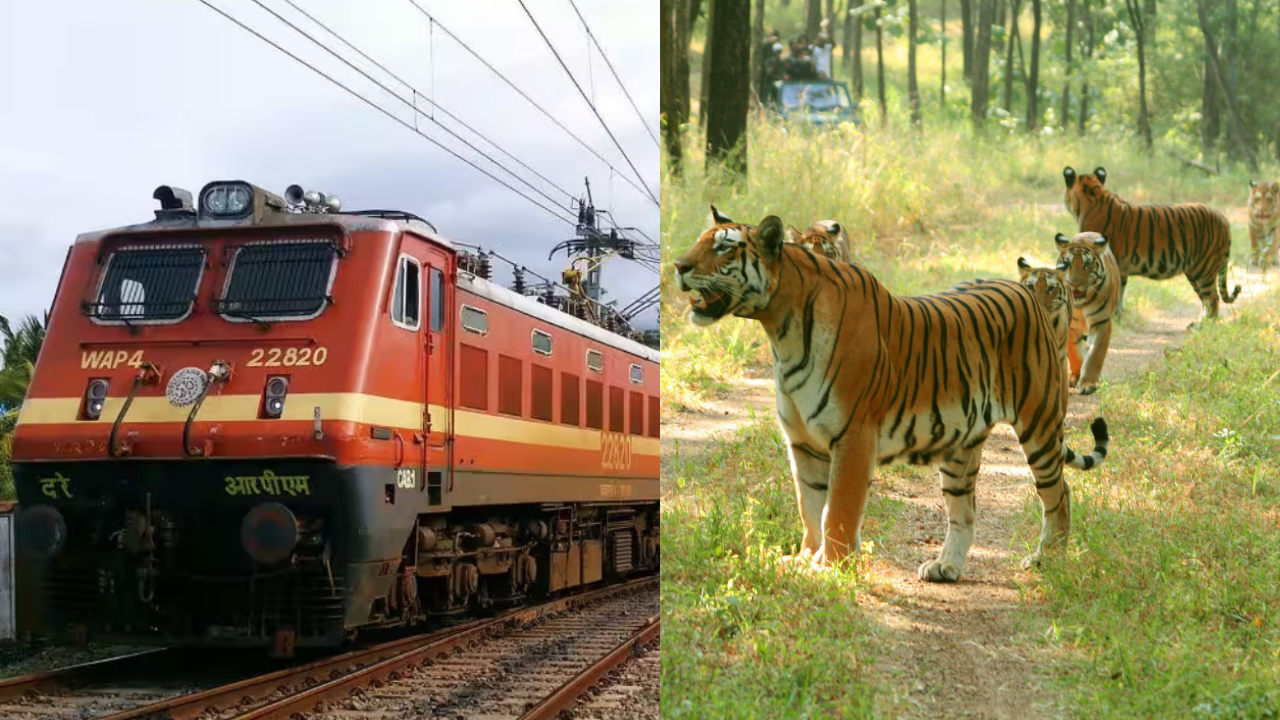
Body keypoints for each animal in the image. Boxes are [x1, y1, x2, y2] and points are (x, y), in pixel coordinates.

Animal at [674, 205, 1110, 581]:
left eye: (725, 247)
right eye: (700, 242)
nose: (678, 266)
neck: (781, 326)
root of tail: (1030, 292)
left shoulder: (853, 435)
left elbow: (838, 510)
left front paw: (830, 567)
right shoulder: (802, 442)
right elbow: (809, 507)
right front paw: (805, 559)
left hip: (1039, 422)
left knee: (1059, 493)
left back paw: (1047, 559)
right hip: (960, 445)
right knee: (964, 509)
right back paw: (946, 567)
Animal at [1054, 232, 1121, 396]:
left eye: (1087, 264)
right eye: (1068, 263)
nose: (1075, 283)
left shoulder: (1102, 322)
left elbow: (1096, 354)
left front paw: (1089, 383)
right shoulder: (1070, 325)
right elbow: (1075, 354)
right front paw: (1078, 376)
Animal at [1063, 166, 1240, 323]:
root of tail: (1223, 218)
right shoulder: (1121, 269)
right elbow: (1120, 293)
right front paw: (1117, 316)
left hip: (1204, 268)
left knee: (1213, 299)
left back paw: (1204, 326)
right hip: (1194, 270)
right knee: (1205, 300)